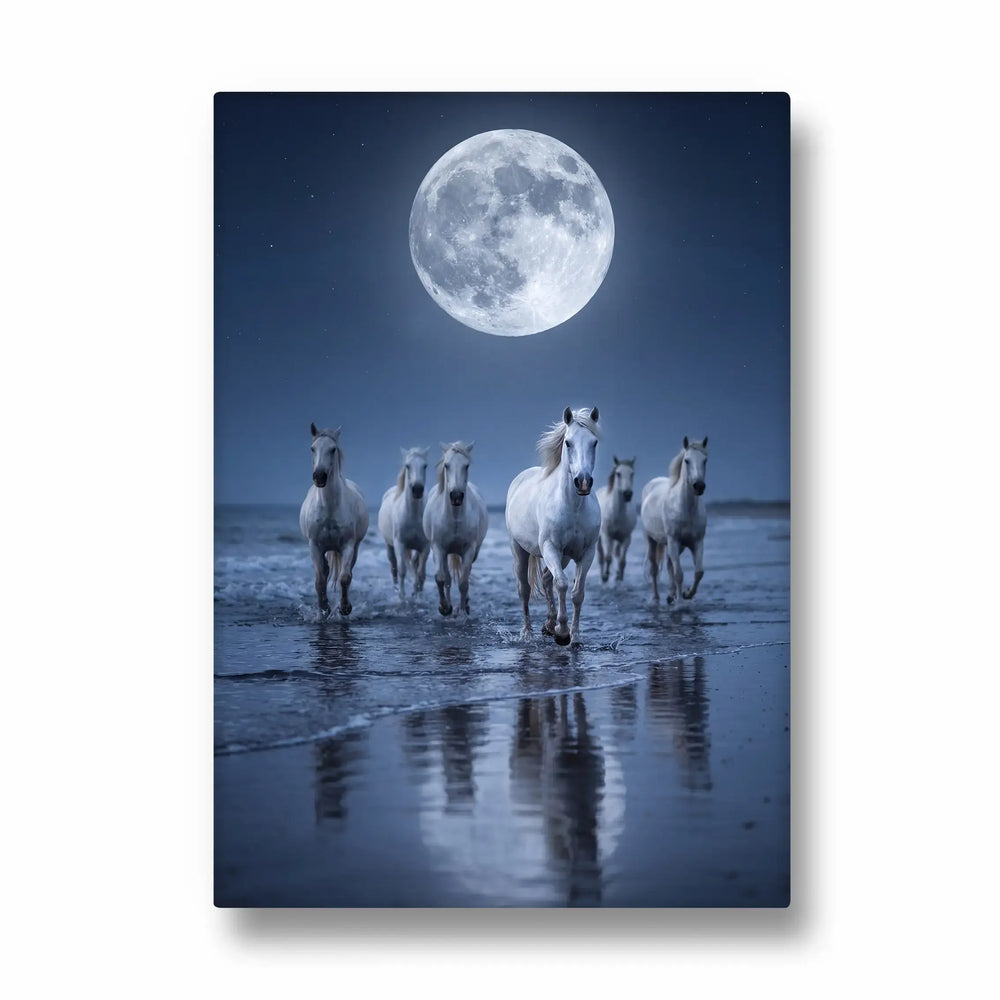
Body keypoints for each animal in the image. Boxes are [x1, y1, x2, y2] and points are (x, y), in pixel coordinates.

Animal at [299, 423, 369, 616]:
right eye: (312, 448)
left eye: (332, 449)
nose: (319, 476)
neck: (330, 509)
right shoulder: (315, 546)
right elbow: (319, 581)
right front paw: (324, 609)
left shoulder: (348, 545)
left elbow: (345, 578)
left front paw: (345, 608)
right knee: (325, 571)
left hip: (354, 548)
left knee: (347, 572)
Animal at [377, 446, 430, 598]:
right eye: (407, 465)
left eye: (425, 466)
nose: (417, 489)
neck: (413, 515)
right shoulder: (400, 544)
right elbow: (402, 570)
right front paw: (402, 597)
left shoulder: (425, 546)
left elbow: (420, 573)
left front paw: (418, 596)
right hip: (390, 545)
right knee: (394, 565)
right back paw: (395, 588)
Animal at [421, 441, 489, 616]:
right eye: (446, 465)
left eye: (466, 466)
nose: (456, 496)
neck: (455, 518)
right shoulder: (438, 548)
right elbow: (440, 578)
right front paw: (444, 608)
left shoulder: (469, 550)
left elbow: (464, 582)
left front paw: (463, 610)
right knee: (447, 578)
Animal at [506, 406, 602, 646]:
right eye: (568, 442)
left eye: (594, 442)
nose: (583, 482)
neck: (573, 507)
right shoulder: (551, 548)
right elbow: (562, 584)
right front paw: (562, 633)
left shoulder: (586, 552)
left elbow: (577, 592)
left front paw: (574, 637)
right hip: (519, 550)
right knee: (525, 589)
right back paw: (528, 632)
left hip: (564, 556)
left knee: (547, 579)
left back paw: (548, 625)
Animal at [639, 436, 708, 604]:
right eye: (687, 460)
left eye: (705, 460)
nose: (699, 486)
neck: (686, 509)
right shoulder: (674, 541)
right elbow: (679, 574)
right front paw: (681, 603)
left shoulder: (697, 542)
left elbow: (699, 572)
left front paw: (687, 594)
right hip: (652, 541)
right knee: (654, 569)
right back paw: (656, 597)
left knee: (670, 565)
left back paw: (671, 596)